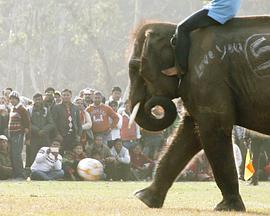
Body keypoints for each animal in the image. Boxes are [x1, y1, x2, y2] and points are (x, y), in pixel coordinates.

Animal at [127, 16, 270, 212]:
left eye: (134, 68)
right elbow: (188, 133)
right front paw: (144, 198)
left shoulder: (207, 77)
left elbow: (213, 129)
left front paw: (227, 206)